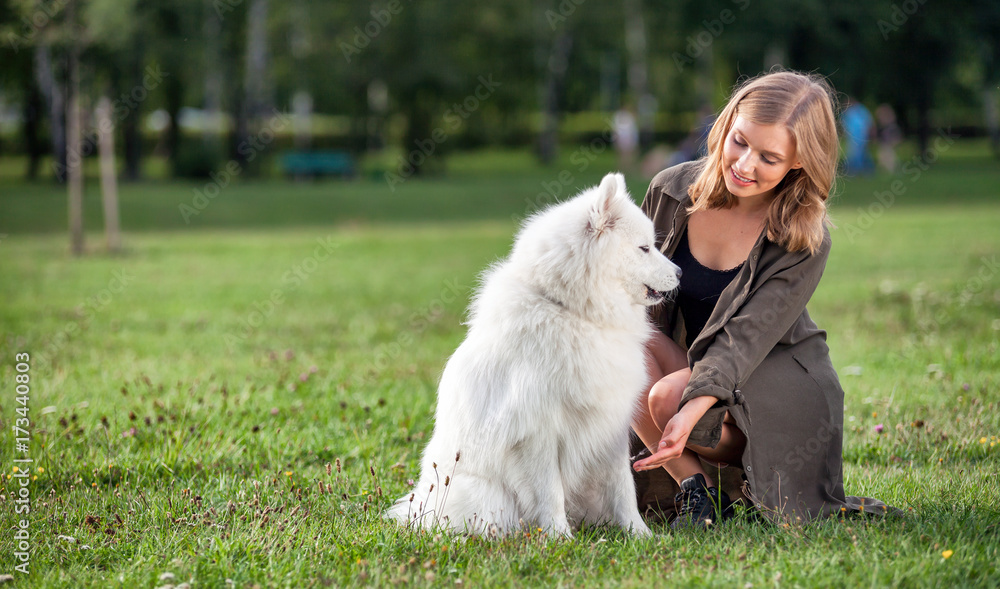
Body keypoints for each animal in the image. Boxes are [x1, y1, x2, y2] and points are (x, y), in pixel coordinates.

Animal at [384, 172, 680, 536]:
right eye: (644, 248)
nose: (680, 273)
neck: (573, 312)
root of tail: (419, 506)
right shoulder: (537, 431)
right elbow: (549, 492)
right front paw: (559, 537)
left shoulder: (609, 423)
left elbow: (623, 487)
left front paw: (639, 534)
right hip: (485, 492)